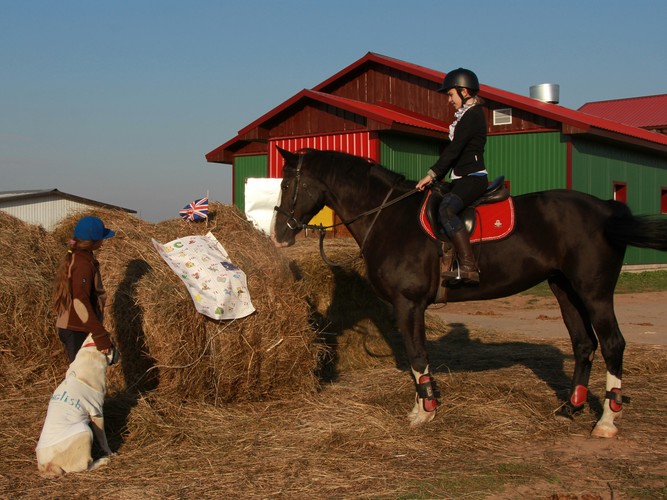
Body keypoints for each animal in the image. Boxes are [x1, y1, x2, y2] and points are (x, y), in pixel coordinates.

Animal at [35, 334, 118, 474]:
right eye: (113, 345)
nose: (119, 354)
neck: (91, 351)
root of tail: (47, 465)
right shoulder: (97, 412)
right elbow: (103, 438)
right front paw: (109, 452)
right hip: (85, 432)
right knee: (83, 466)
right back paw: (102, 461)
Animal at [272, 146, 667, 436]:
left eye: (287, 185)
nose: (279, 234)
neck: (389, 217)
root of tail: (607, 208)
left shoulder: (409, 304)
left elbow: (417, 355)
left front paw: (424, 411)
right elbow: (418, 357)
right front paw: (425, 405)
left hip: (593, 292)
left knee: (612, 344)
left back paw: (606, 422)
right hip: (564, 288)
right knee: (584, 344)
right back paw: (570, 407)